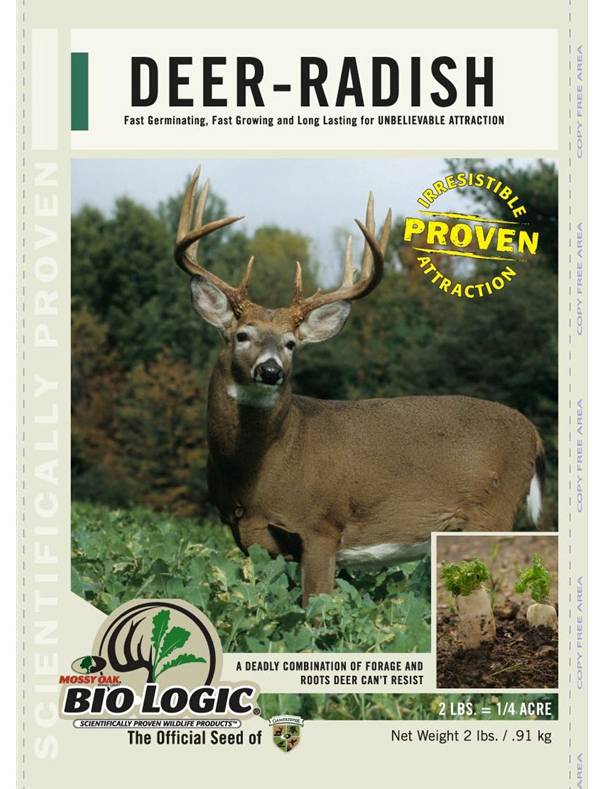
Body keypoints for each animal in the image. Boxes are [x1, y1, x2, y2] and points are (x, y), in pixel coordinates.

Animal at [174, 167, 545, 607]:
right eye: (242, 335)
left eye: (291, 343)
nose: (270, 371)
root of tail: (534, 435)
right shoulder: (250, 538)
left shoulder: (322, 525)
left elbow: (316, 607)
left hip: (493, 508)